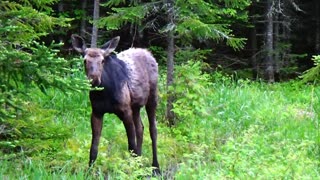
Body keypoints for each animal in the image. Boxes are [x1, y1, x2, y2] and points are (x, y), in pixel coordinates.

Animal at [70, 34, 159, 174]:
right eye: (85, 60)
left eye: (102, 61)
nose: (94, 79)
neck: (104, 93)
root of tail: (149, 53)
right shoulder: (96, 112)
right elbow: (94, 146)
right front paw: (89, 171)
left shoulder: (125, 111)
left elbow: (131, 145)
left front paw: (132, 171)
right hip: (135, 106)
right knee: (140, 128)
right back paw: (140, 162)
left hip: (152, 98)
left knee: (153, 129)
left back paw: (156, 167)